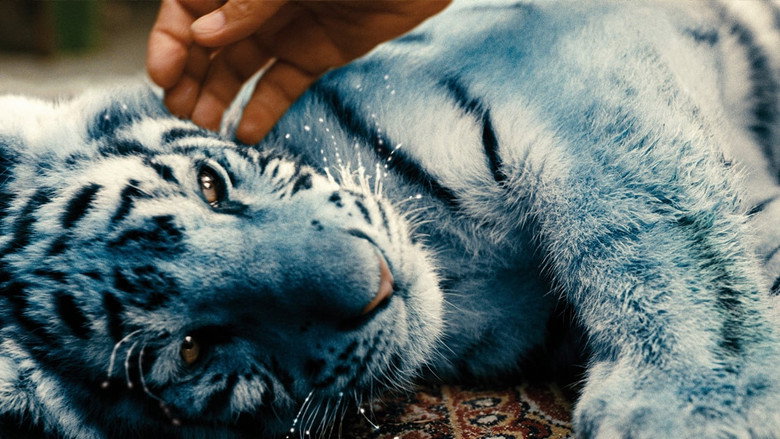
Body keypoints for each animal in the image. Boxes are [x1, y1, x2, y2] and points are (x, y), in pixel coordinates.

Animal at [1, 0, 779, 438]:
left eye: (211, 185)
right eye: (194, 349)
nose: (376, 280)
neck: (458, 272)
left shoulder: (556, 56)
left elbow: (651, 220)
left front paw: (699, 402)